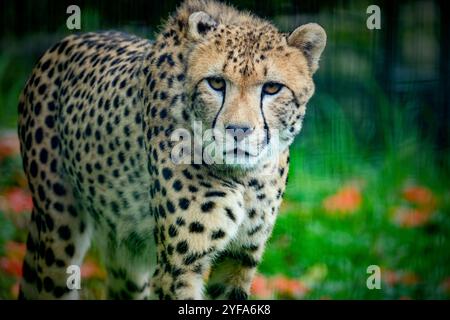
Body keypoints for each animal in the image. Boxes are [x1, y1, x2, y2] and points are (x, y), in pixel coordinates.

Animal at [18, 0, 326, 300]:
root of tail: (64, 42)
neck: (246, 177)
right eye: (216, 82)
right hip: (59, 228)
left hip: (125, 252)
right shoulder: (179, 268)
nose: (238, 130)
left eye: (272, 88)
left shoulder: (240, 259)